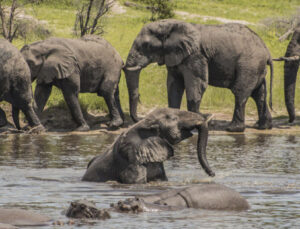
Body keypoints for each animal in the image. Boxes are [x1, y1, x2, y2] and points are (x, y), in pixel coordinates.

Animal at [123, 19, 274, 132]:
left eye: (146, 46)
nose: (138, 120)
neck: (171, 26)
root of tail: (267, 51)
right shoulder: (174, 55)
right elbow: (174, 85)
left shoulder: (195, 56)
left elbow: (197, 84)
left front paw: (198, 122)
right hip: (256, 67)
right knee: (259, 93)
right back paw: (262, 127)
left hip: (249, 64)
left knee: (240, 91)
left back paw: (232, 129)